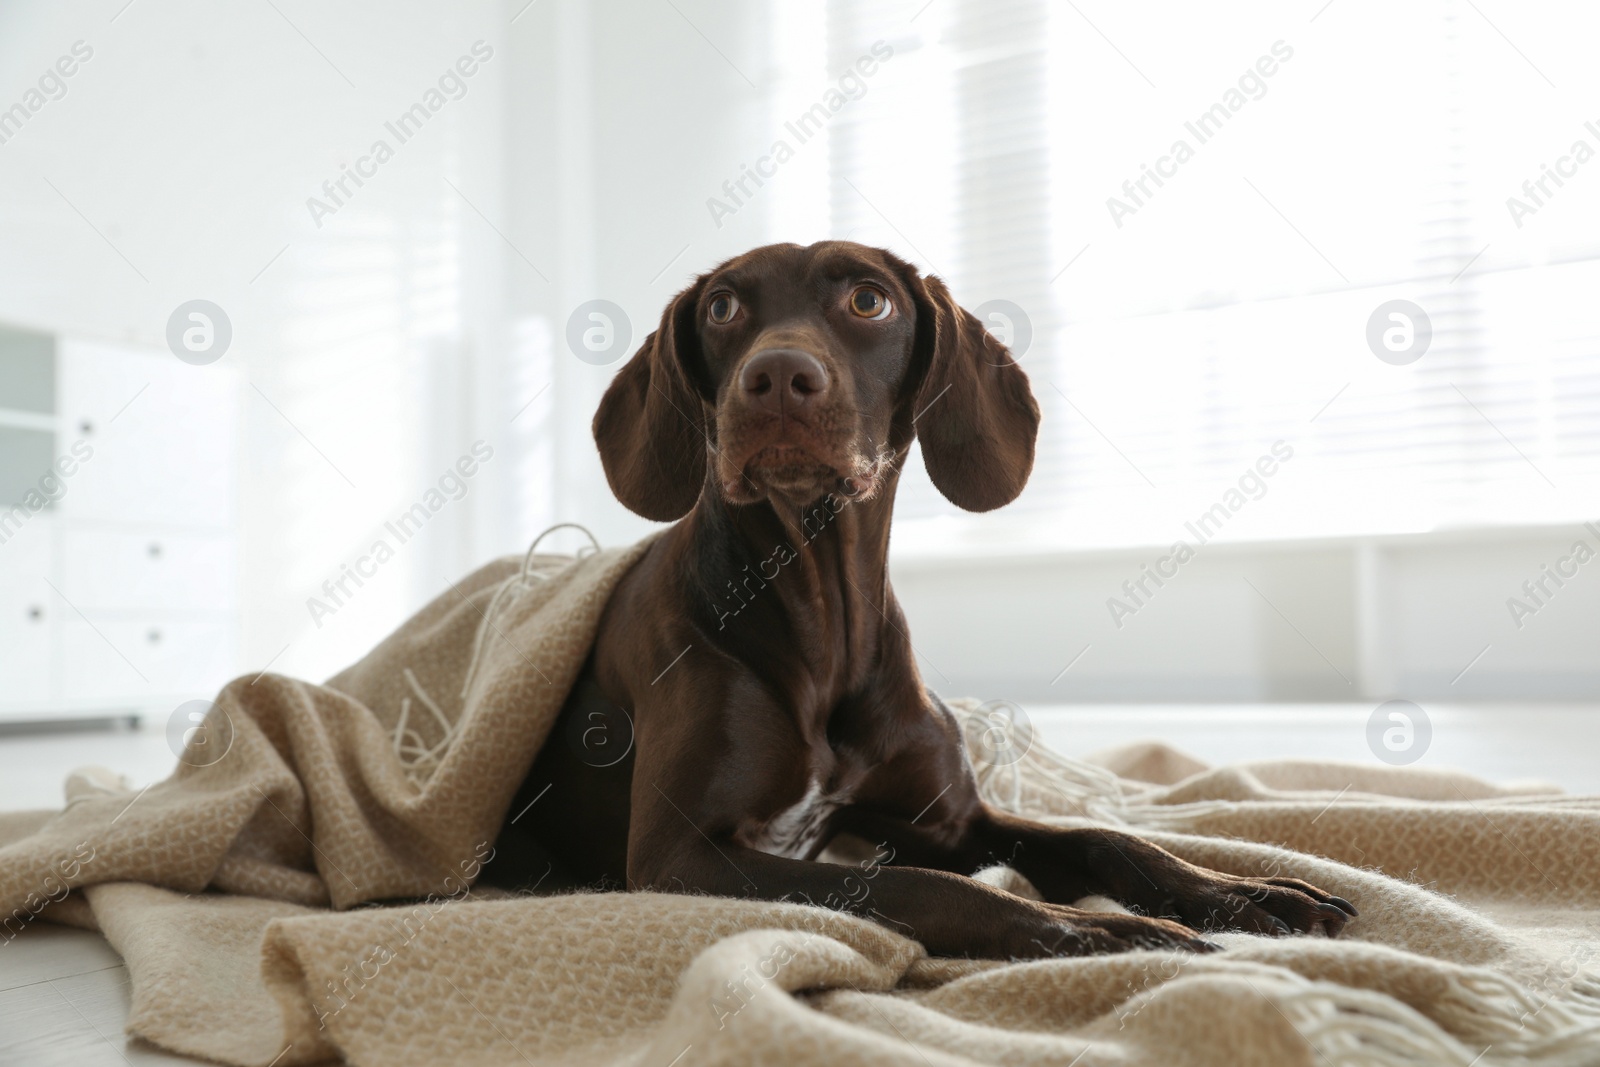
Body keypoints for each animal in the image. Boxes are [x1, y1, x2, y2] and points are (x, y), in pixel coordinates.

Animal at [483, 244, 1350, 959]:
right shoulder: (681, 856)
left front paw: (1237, 889)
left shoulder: (949, 821)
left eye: (869, 301)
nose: (776, 377)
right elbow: (918, 885)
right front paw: (1092, 928)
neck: (825, 616)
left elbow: (1107, 837)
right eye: (723, 307)